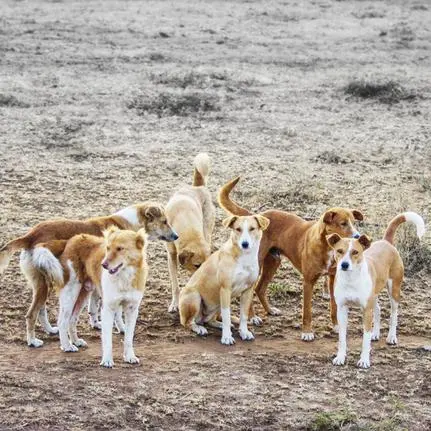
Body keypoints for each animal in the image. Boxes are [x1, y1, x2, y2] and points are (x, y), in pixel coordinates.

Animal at [0, 202, 177, 348]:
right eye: (164, 221)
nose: (176, 236)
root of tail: (30, 235)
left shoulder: (96, 283)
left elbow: (93, 304)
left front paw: (95, 322)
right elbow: (116, 312)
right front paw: (121, 327)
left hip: (45, 283)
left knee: (41, 310)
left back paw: (50, 330)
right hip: (49, 282)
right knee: (31, 314)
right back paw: (32, 341)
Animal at [165, 154, 216, 312]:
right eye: (197, 265)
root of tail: (197, 186)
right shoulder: (171, 255)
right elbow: (175, 285)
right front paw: (174, 304)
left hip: (208, 229)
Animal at [180, 214, 270, 346]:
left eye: (252, 228)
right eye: (238, 229)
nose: (245, 244)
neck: (244, 257)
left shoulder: (247, 291)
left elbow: (244, 316)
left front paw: (244, 332)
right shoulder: (225, 289)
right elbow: (227, 316)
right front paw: (226, 337)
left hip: (217, 303)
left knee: (209, 320)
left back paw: (219, 324)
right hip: (194, 296)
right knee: (188, 323)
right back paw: (199, 328)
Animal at [219, 177, 364, 342]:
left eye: (354, 222)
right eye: (343, 224)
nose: (358, 236)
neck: (326, 246)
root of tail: (254, 216)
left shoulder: (333, 278)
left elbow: (333, 306)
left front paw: (336, 326)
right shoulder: (308, 281)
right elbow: (307, 311)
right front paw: (307, 332)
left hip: (274, 262)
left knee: (260, 288)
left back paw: (270, 310)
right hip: (259, 264)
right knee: (251, 291)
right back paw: (253, 317)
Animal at [328, 211, 426, 370]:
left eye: (355, 252)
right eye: (339, 251)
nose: (344, 265)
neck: (351, 279)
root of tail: (386, 242)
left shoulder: (366, 311)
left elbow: (365, 339)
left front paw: (364, 360)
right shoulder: (342, 309)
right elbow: (342, 338)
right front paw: (340, 357)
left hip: (394, 290)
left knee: (394, 314)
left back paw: (391, 337)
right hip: (373, 295)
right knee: (379, 309)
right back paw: (376, 334)